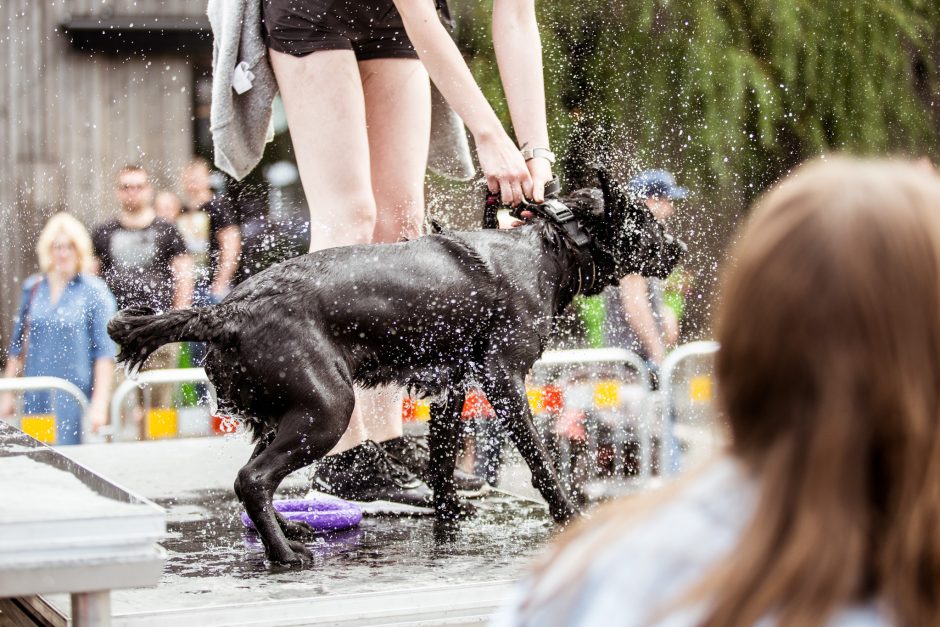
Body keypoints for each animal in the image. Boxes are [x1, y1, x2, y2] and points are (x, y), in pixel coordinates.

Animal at [108, 170, 684, 564]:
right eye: (646, 220)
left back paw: (292, 533)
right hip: (327, 409)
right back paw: (285, 555)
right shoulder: (504, 381)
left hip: (278, 415)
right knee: (253, 479)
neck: (549, 248)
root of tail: (223, 311)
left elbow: (445, 470)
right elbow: (542, 464)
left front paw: (449, 526)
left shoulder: (452, 391)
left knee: (258, 482)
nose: (678, 247)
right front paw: (570, 516)